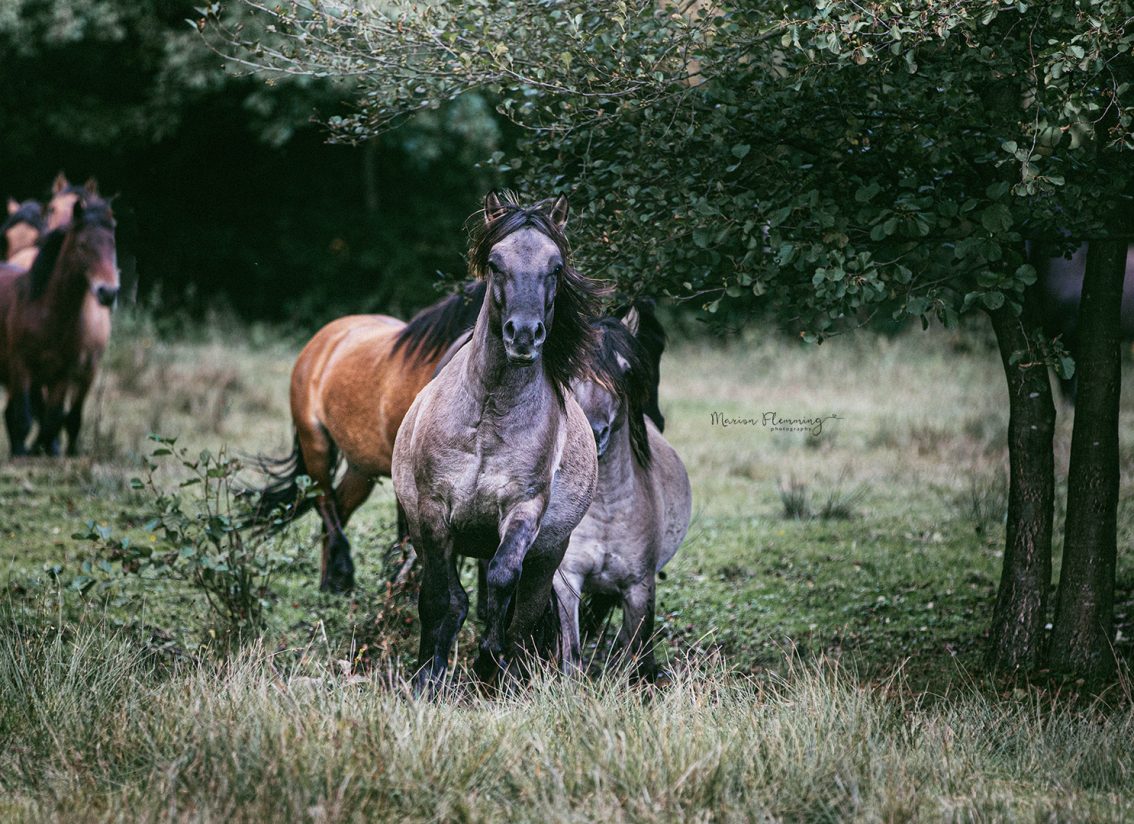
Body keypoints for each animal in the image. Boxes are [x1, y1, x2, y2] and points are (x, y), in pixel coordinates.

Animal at [0, 188, 119, 457]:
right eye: (82, 245)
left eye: (112, 244)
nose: (108, 292)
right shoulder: (21, 366)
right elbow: (23, 417)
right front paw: (22, 452)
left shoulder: (64, 373)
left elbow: (53, 418)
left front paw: (44, 449)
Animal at [250, 283, 485, 593]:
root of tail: (322, 340)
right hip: (316, 445)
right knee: (324, 502)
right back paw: (341, 575)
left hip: (362, 469)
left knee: (339, 507)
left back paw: (330, 585)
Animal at [390, 190, 603, 693]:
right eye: (494, 263)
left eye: (556, 266)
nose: (523, 335)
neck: (488, 417)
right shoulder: (433, 511)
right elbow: (439, 598)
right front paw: (426, 678)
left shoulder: (523, 510)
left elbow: (504, 584)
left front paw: (489, 660)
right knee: (456, 600)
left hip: (547, 555)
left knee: (524, 612)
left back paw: (508, 676)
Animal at [551, 315, 689, 684]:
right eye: (571, 370)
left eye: (626, 372)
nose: (595, 432)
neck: (605, 511)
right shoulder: (567, 581)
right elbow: (572, 655)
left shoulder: (639, 587)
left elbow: (637, 653)